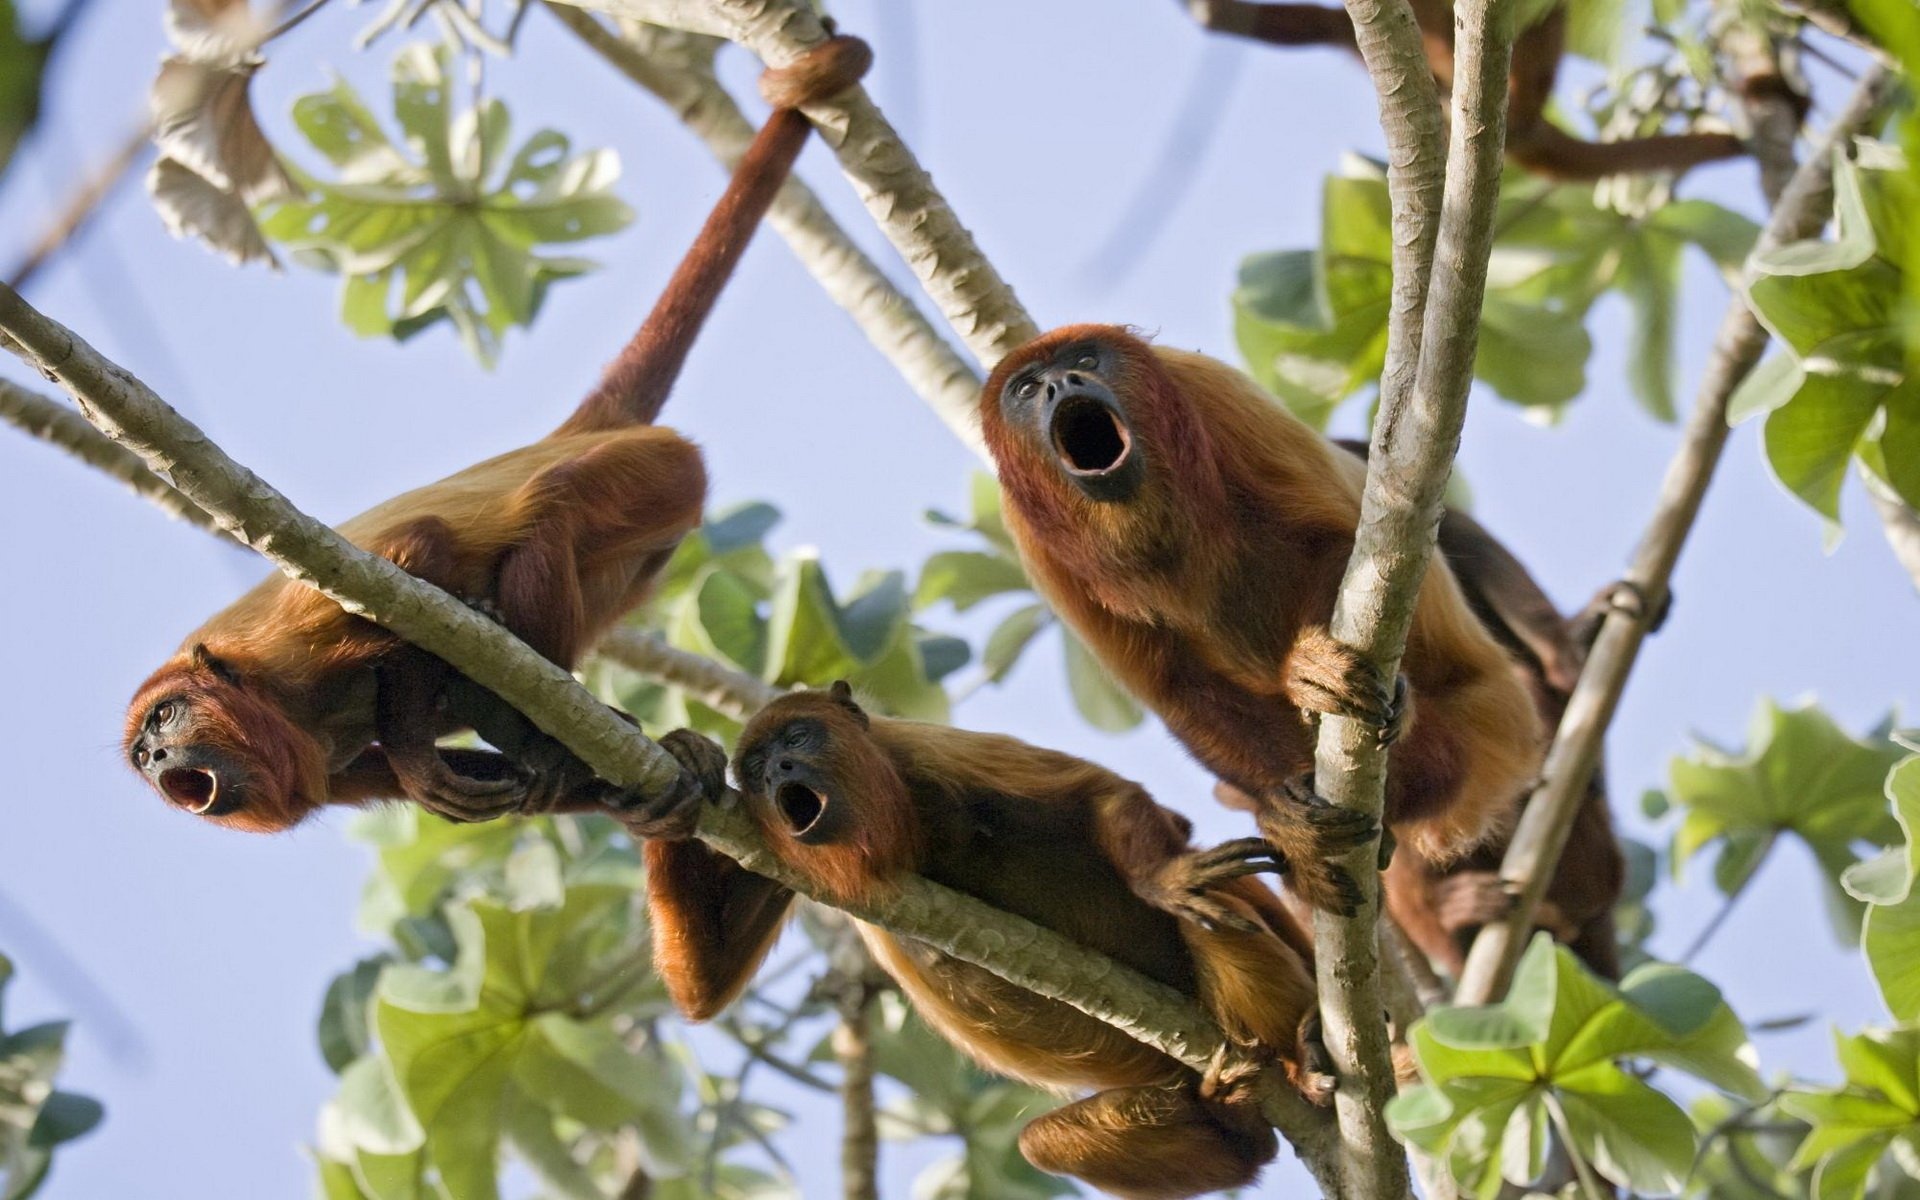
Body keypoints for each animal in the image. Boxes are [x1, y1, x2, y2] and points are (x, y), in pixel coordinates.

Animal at [120, 30, 871, 833]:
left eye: (165, 719)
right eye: (141, 752)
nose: (158, 760)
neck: (267, 698)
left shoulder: (287, 639)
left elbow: (420, 560)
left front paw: (418, 751)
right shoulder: (321, 766)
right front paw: (664, 771)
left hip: (658, 469)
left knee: (556, 505)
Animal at [645, 683, 1320, 1198]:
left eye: (797, 739)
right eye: (755, 769)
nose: (778, 772)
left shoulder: (926, 749)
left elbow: (1115, 800)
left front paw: (1166, 876)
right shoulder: (768, 839)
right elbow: (704, 989)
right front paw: (682, 763)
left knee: (1214, 918)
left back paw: (1297, 1057)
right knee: (1041, 1144)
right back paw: (1240, 1126)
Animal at [975, 322, 1543, 913]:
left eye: (1086, 359)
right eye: (1026, 388)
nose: (1061, 383)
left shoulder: (1216, 391)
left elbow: (1340, 543)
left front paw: (1313, 669)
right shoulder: (1032, 540)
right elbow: (1176, 686)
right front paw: (1287, 821)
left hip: (1487, 733)